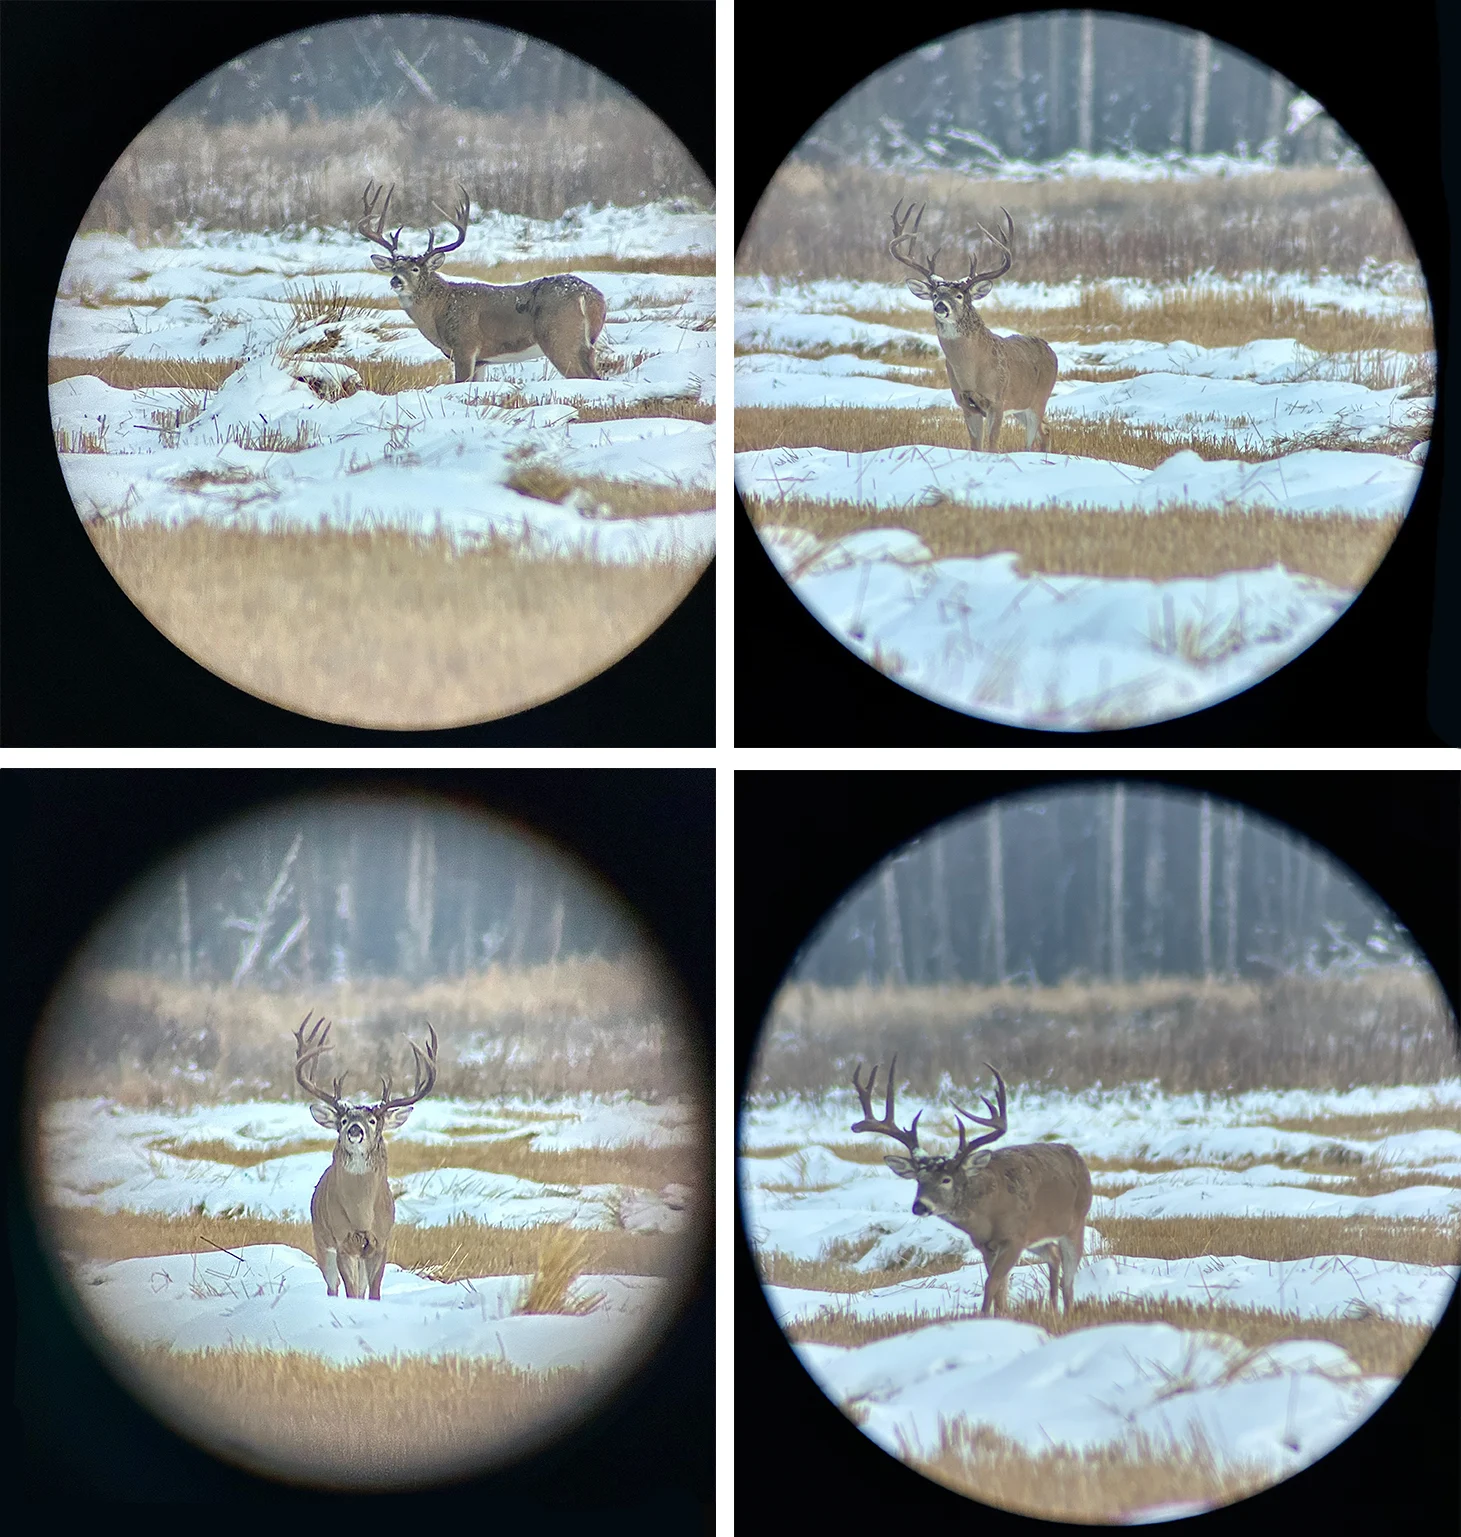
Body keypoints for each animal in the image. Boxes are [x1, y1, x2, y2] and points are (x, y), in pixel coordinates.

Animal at [294, 1014, 436, 1303]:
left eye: (372, 1120)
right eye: (343, 1120)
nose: (355, 1130)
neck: (362, 1217)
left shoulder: (380, 1242)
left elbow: (375, 1291)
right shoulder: (342, 1241)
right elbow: (350, 1291)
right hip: (321, 1239)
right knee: (333, 1286)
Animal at [356, 181, 608, 382]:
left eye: (416, 269)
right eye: (395, 267)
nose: (395, 281)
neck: (439, 309)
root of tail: (590, 296)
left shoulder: (465, 347)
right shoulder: (482, 361)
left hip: (560, 338)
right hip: (585, 345)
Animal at [854, 1057, 1093, 1321]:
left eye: (946, 1179)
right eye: (919, 1179)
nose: (920, 1206)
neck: (989, 1215)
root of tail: (1075, 1155)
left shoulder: (1015, 1238)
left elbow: (992, 1283)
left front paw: (985, 1316)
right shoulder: (985, 1245)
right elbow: (999, 1286)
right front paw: (1000, 1315)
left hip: (1075, 1225)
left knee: (1068, 1279)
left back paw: (1066, 1313)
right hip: (1038, 1237)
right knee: (1053, 1254)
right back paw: (1051, 1309)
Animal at [884, 201, 1056, 448]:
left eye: (959, 296)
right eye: (935, 294)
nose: (940, 307)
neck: (972, 370)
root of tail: (1050, 350)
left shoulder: (997, 401)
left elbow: (992, 447)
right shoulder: (966, 405)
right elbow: (976, 446)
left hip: (1038, 399)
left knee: (1035, 436)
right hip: (1021, 407)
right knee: (1047, 429)